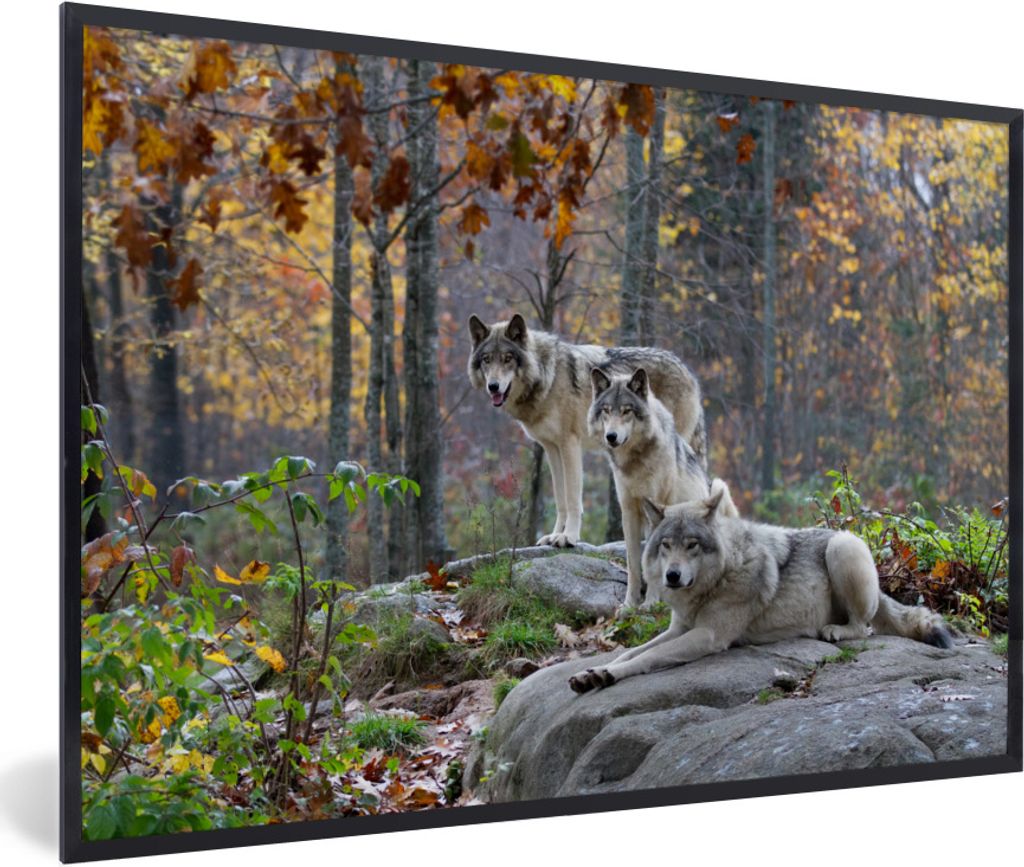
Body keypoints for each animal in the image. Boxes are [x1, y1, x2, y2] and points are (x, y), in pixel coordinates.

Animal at [468, 313, 706, 547]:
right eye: (487, 360)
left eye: (507, 358)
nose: (493, 386)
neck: (548, 377)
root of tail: (688, 371)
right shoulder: (551, 447)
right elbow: (560, 498)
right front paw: (554, 535)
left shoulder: (569, 444)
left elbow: (573, 498)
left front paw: (569, 537)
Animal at [569, 480, 954, 693]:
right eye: (666, 545)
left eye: (692, 545)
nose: (672, 576)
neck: (721, 576)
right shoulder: (679, 628)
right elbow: (630, 652)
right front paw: (593, 672)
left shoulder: (708, 636)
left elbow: (646, 657)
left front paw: (608, 674)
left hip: (842, 548)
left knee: (865, 628)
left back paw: (835, 631)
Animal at [588, 366, 737, 609]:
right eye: (606, 411)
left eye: (627, 411)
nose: (611, 437)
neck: (635, 462)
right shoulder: (629, 511)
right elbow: (633, 564)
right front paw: (629, 605)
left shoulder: (657, 509)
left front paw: (650, 603)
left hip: (718, 485)